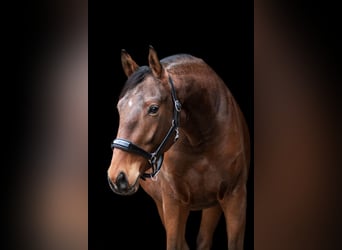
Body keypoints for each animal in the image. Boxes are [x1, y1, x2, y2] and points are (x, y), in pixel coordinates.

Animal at [107, 45, 251, 250]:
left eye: (153, 108)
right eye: (120, 107)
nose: (117, 176)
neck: (201, 142)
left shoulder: (235, 199)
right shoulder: (173, 204)